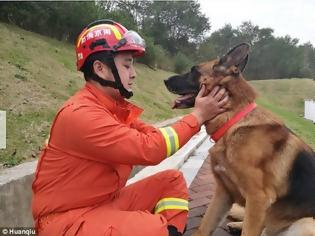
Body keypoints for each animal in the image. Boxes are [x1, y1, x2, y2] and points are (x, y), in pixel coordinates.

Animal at [164, 42, 315, 236]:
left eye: (193, 70)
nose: (165, 80)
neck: (233, 120)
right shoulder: (223, 193)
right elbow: (203, 227)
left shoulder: (258, 200)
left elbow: (249, 231)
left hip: (305, 224)